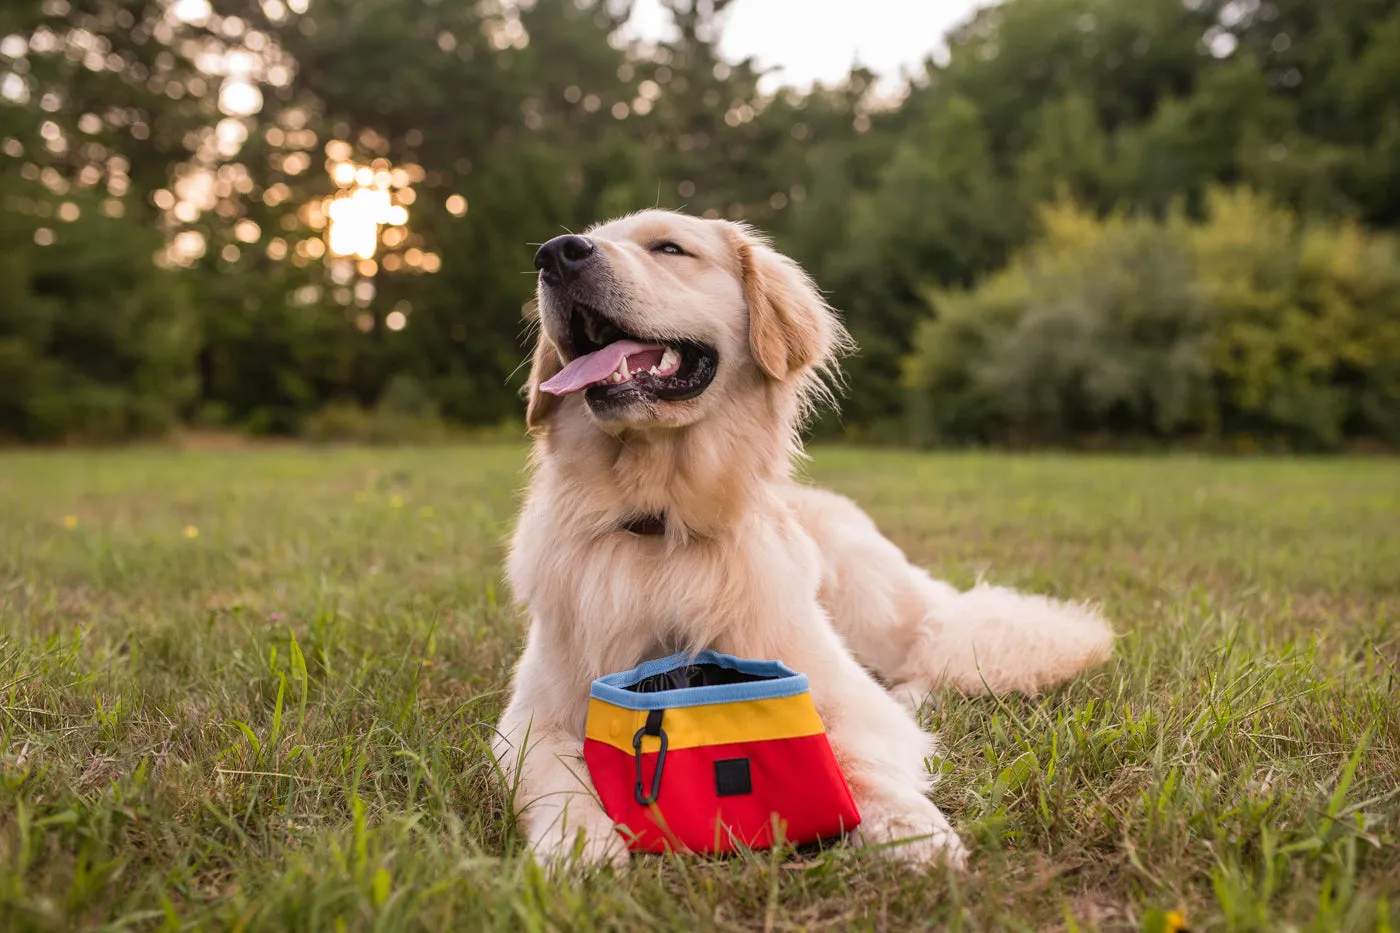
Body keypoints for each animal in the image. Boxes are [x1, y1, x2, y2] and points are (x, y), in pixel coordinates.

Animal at [492, 208, 1114, 862]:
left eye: (669, 248)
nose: (556, 255)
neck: (662, 522)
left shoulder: (836, 691)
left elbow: (855, 754)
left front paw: (912, 830)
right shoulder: (528, 719)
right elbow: (557, 774)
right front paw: (577, 846)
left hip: (876, 606)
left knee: (933, 654)